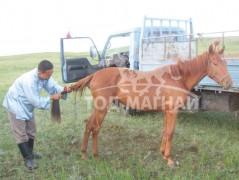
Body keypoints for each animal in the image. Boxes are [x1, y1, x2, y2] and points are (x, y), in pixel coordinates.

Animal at [70, 40, 232, 167]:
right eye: (215, 63)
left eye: (225, 62)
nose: (228, 83)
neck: (177, 78)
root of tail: (95, 74)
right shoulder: (173, 110)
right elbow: (171, 132)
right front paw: (169, 159)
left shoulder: (167, 110)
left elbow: (165, 132)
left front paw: (163, 154)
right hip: (102, 108)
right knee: (95, 128)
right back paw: (94, 155)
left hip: (98, 108)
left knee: (89, 125)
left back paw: (84, 154)